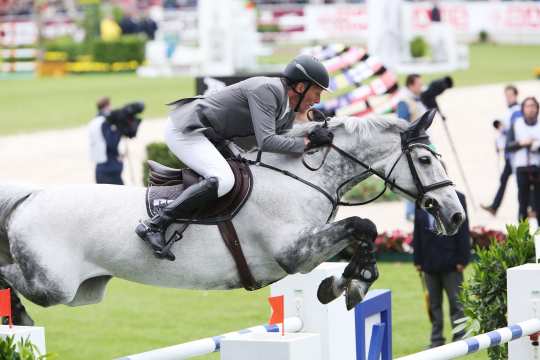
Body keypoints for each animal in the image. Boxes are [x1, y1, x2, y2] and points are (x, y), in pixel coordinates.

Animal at [0, 110, 464, 324]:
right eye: (425, 159)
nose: (456, 215)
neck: (302, 175)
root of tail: (31, 195)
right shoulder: (294, 253)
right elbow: (362, 225)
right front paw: (347, 284)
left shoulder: (312, 243)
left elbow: (363, 233)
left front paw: (348, 283)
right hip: (54, 286)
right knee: (9, 276)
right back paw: (19, 317)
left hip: (85, 291)